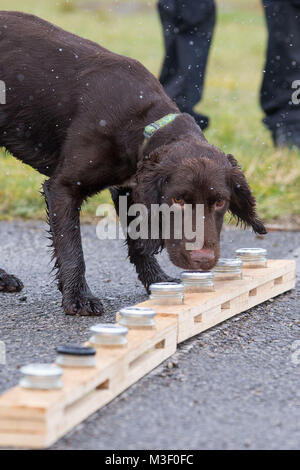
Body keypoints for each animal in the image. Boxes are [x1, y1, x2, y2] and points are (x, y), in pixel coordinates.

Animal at [0, 11, 268, 316]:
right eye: (177, 200)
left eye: (221, 202)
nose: (203, 259)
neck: (142, 123)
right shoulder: (63, 188)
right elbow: (71, 246)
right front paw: (78, 296)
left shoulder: (129, 188)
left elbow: (139, 238)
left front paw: (157, 282)